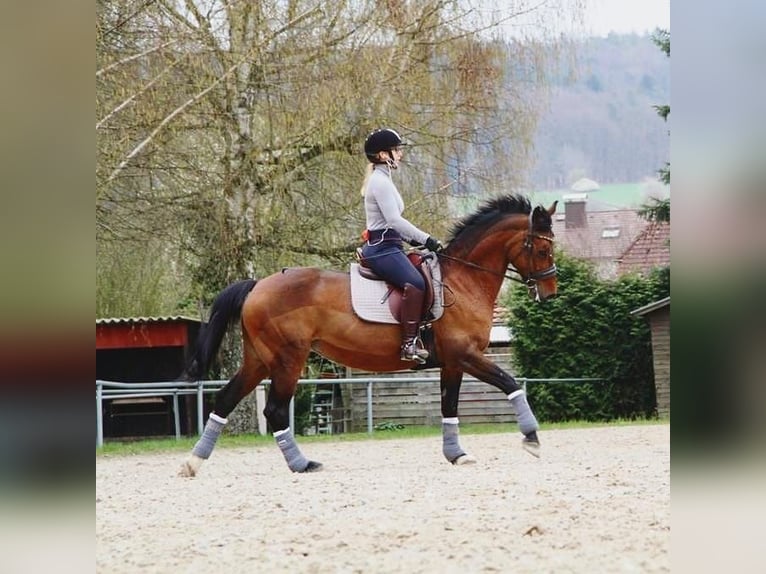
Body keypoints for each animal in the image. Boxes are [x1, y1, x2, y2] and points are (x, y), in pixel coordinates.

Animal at [183, 194, 560, 476]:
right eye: (543, 250)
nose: (550, 293)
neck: (463, 280)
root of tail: (257, 285)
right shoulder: (466, 355)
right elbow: (510, 383)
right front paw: (532, 439)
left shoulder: (453, 363)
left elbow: (449, 406)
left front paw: (457, 454)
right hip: (288, 359)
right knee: (274, 410)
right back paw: (302, 464)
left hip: (259, 359)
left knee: (225, 399)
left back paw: (193, 461)